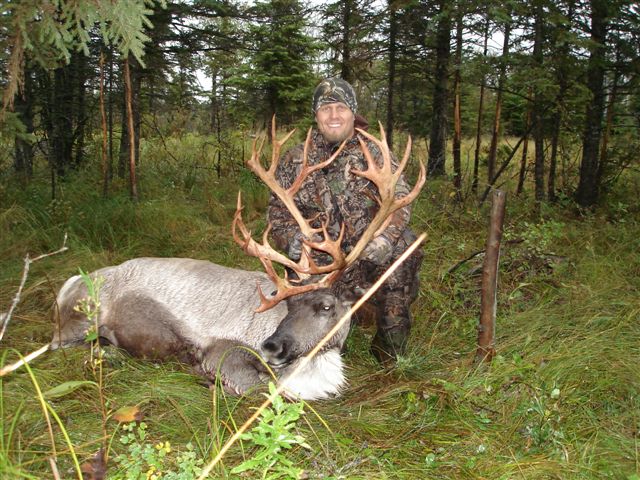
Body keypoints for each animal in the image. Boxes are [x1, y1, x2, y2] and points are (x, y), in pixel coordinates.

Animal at [50, 121, 425, 400]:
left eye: (326, 306)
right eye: (289, 305)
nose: (272, 345)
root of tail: (68, 284)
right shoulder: (222, 349)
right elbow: (264, 388)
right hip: (81, 319)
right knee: (60, 346)